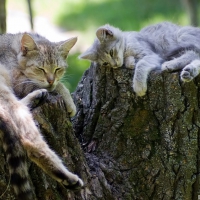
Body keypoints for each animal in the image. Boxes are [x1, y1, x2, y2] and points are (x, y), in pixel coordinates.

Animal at [0, 32, 83, 198]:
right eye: (40, 69)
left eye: (58, 69)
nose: (50, 80)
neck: (12, 48)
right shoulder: (18, 79)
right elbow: (58, 86)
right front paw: (69, 100)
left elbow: (56, 84)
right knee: (31, 143)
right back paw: (68, 178)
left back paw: (37, 97)